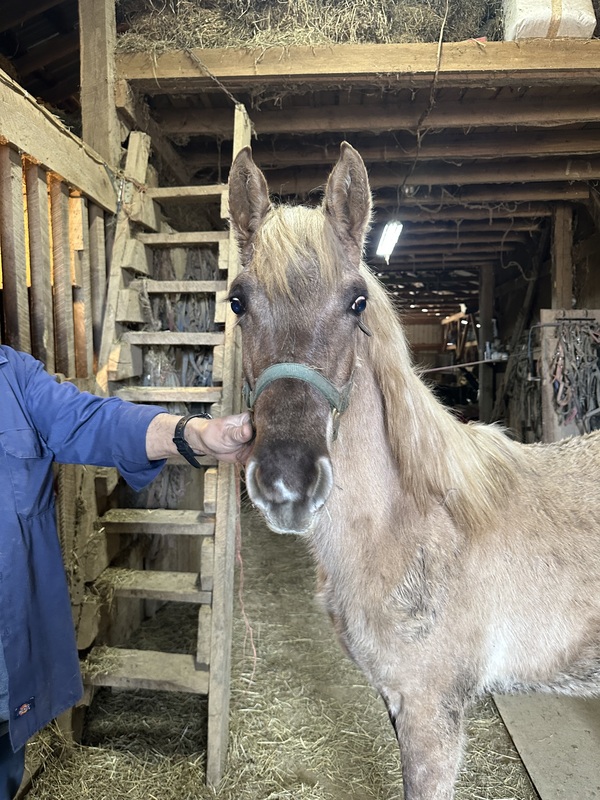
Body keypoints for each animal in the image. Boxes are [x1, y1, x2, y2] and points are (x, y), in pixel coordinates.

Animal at [227, 144, 600, 800]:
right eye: (237, 301)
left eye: (356, 301)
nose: (288, 480)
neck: (414, 524)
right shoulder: (397, 702)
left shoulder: (431, 715)